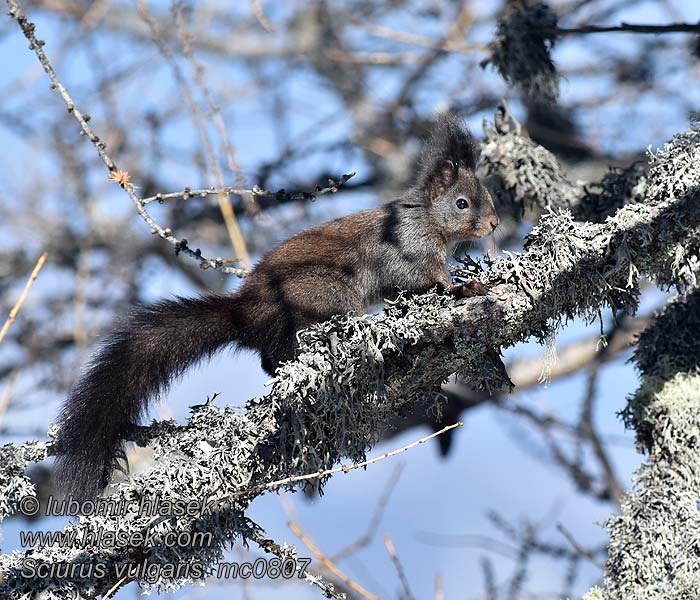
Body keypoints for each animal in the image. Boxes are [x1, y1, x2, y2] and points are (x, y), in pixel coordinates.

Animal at [53, 112, 498, 496]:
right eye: (462, 203)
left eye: (489, 197)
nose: (494, 224)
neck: (429, 221)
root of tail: (245, 313)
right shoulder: (405, 250)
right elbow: (425, 280)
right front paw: (464, 289)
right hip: (321, 296)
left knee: (270, 359)